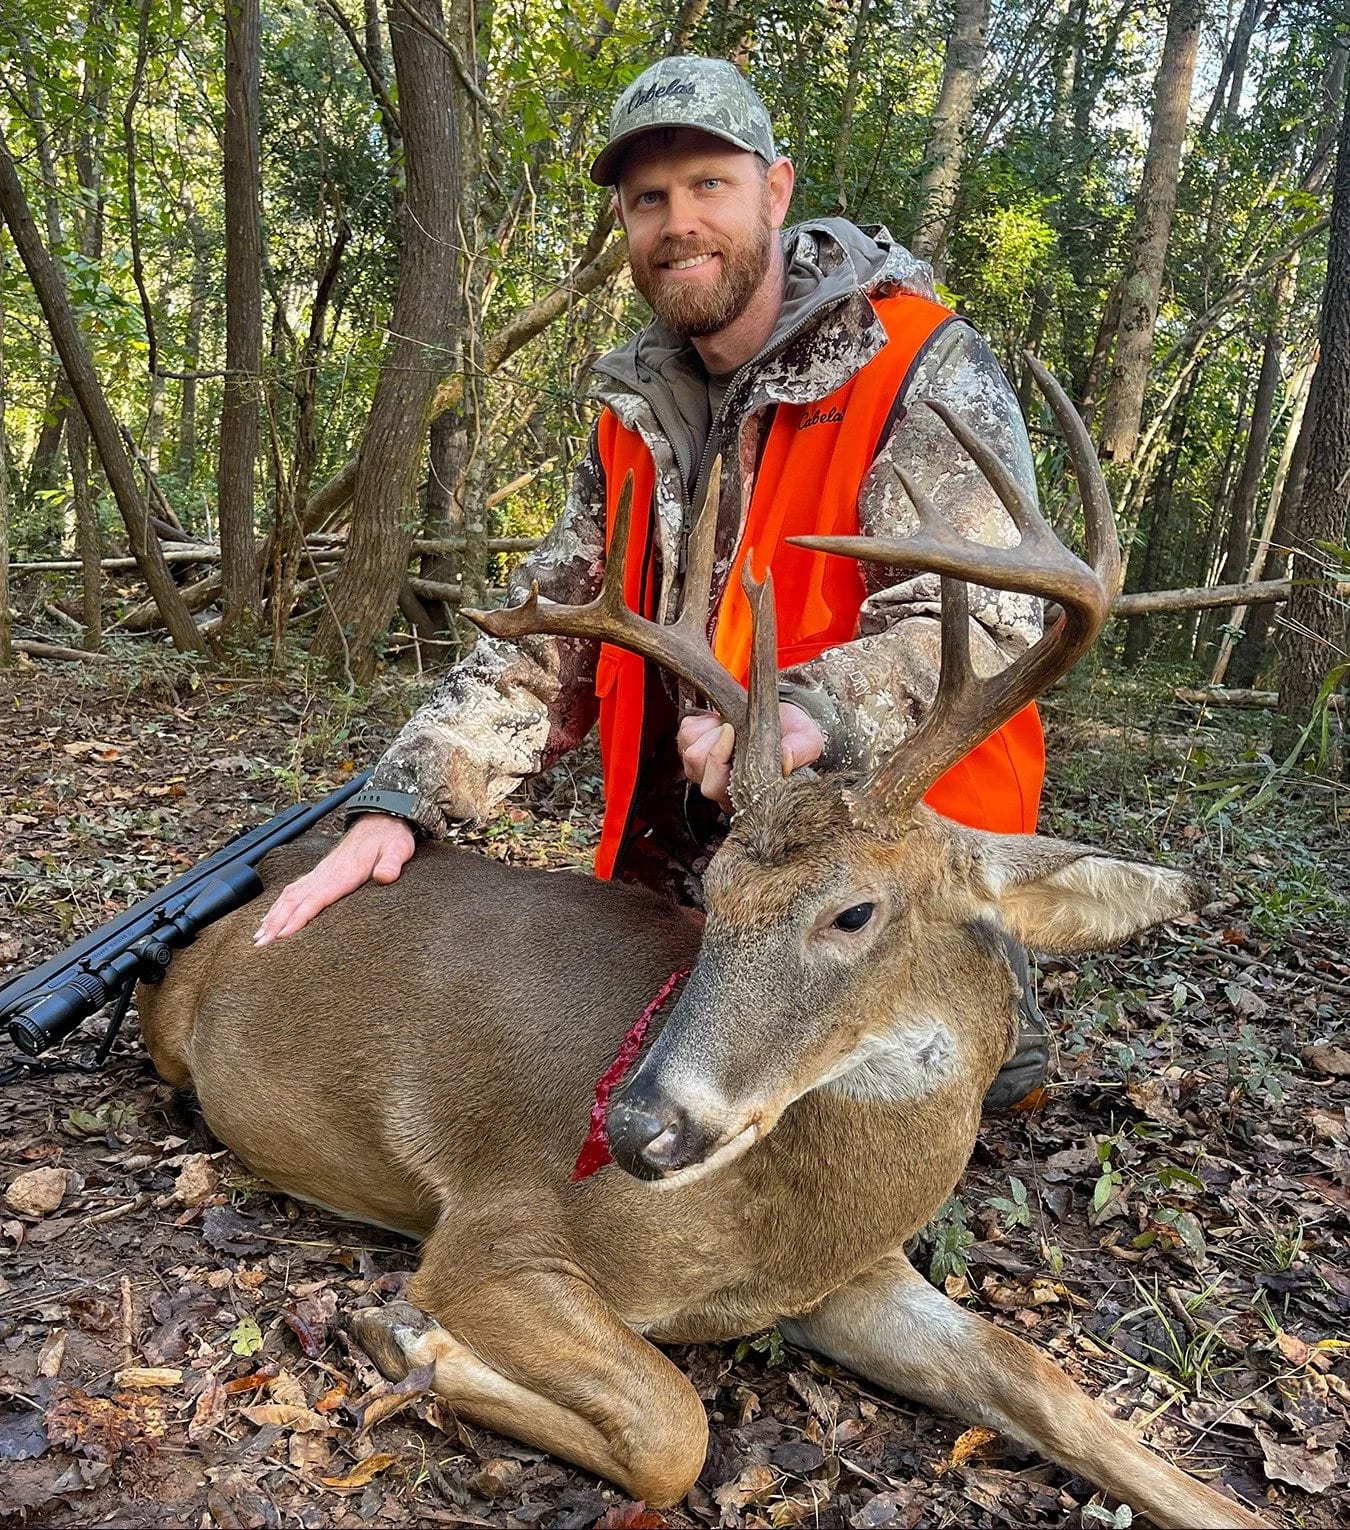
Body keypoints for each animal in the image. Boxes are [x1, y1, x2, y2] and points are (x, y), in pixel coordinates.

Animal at [137, 358, 1269, 1530]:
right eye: (714, 891)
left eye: (853, 912)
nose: (638, 1129)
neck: (781, 1229)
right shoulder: (497, 1230)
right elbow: (674, 1430)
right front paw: (404, 1334)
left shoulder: (850, 1277)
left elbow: (1042, 1380)